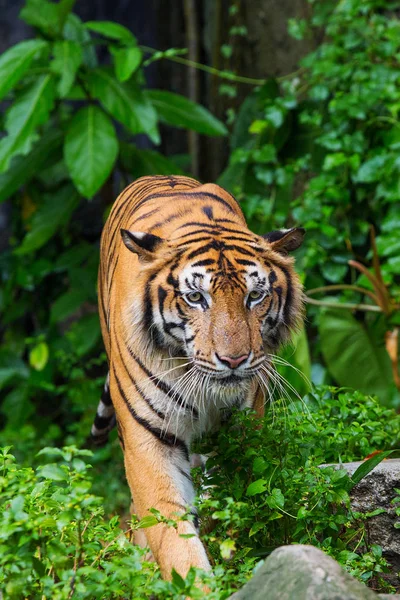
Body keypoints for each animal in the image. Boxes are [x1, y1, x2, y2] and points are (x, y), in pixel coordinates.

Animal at [91, 176, 304, 580]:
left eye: (256, 295)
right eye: (195, 297)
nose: (234, 359)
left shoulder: (242, 431)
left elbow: (227, 504)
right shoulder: (149, 440)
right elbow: (171, 532)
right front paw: (196, 583)